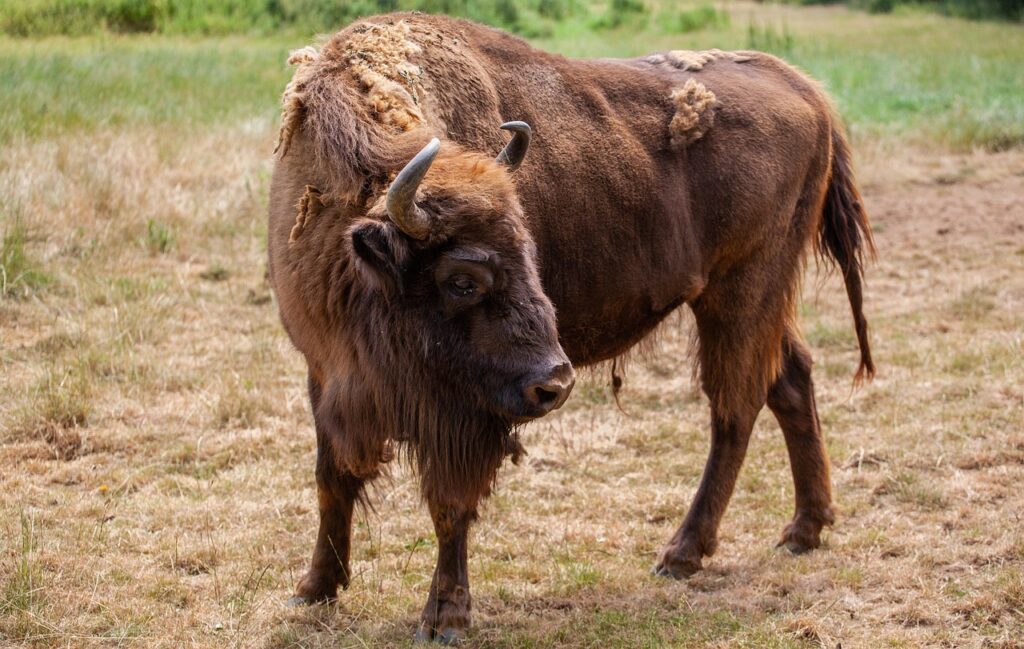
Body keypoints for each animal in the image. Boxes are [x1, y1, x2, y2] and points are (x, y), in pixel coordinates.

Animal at [267, 13, 874, 643]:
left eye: (531, 253)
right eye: (461, 279)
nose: (554, 384)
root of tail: (805, 90)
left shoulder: (464, 416)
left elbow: (449, 505)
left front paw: (445, 618)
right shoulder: (325, 375)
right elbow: (331, 480)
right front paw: (312, 589)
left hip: (739, 295)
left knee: (735, 408)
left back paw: (681, 554)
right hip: (760, 303)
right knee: (791, 381)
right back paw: (804, 530)